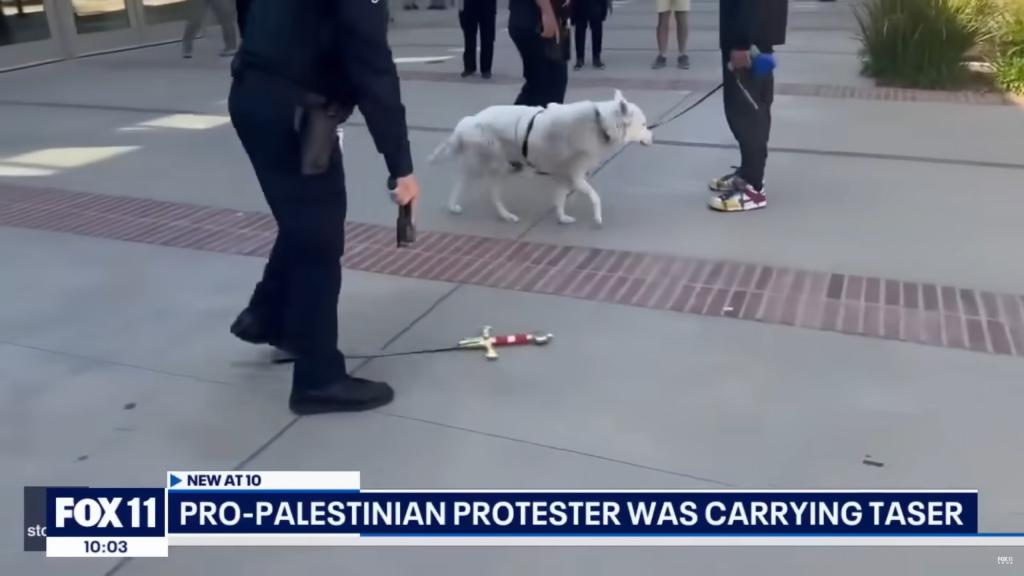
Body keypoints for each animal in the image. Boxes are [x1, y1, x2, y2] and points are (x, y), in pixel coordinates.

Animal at [425, 89, 651, 224]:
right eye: (644, 124)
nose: (653, 137)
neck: (601, 123)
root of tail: (467, 122)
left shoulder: (564, 175)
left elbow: (560, 199)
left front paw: (562, 217)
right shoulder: (577, 177)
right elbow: (595, 197)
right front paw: (597, 217)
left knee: (468, 183)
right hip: (495, 166)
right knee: (477, 188)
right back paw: (497, 213)